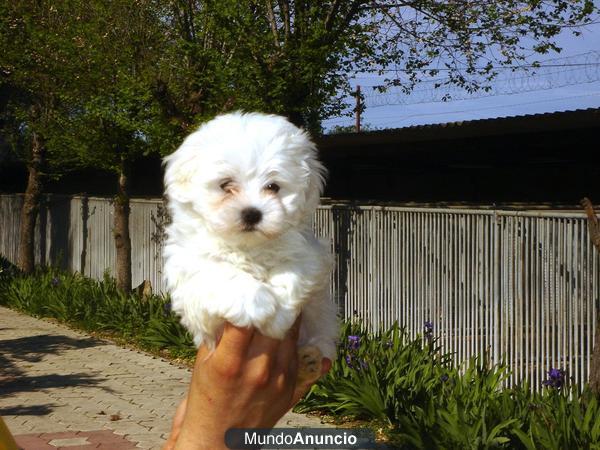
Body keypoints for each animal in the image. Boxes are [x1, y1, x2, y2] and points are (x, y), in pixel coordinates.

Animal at [162, 110, 340, 382]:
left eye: (273, 186)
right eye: (226, 185)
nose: (252, 213)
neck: (249, 247)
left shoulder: (310, 253)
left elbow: (292, 272)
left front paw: (279, 317)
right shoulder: (189, 266)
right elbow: (220, 272)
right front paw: (259, 304)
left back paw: (309, 359)